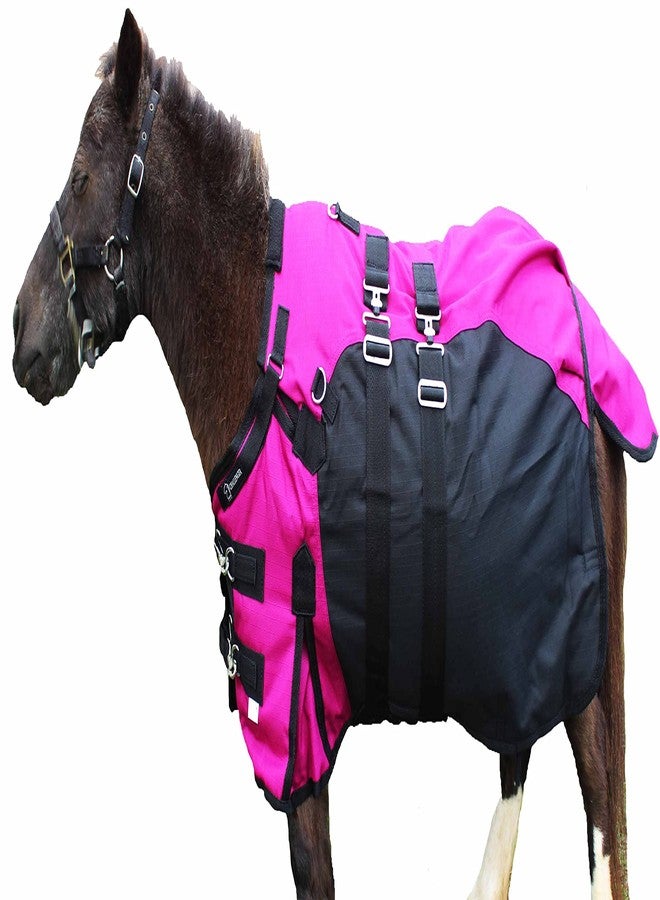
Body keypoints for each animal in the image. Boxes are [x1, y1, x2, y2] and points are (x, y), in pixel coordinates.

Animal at [11, 10, 654, 898]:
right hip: (514, 638)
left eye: (80, 175)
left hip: (581, 658)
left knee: (599, 824)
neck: (253, 329)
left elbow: (313, 869)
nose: (22, 339)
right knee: (518, 763)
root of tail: (592, 351)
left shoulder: (294, 697)